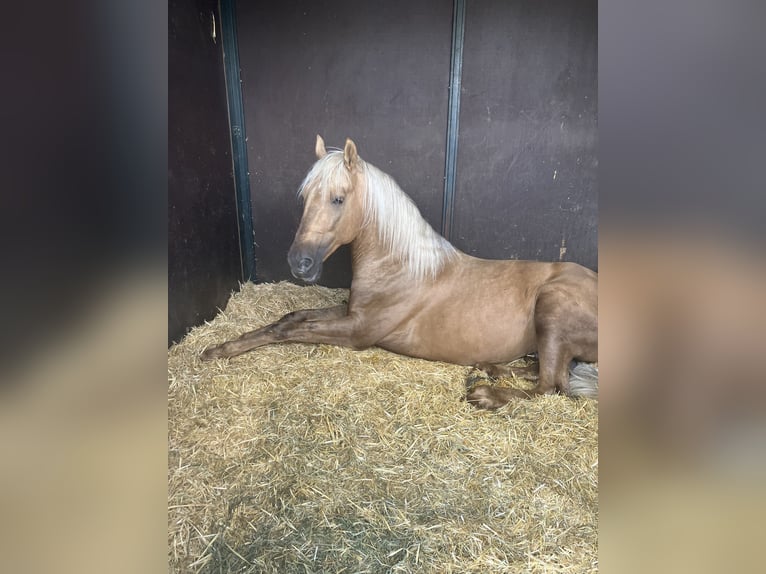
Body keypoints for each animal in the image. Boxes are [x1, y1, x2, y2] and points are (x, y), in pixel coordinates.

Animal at [201, 137, 596, 408]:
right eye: (305, 198)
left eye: (338, 199)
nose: (299, 262)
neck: (401, 268)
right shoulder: (351, 312)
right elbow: (289, 319)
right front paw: (220, 349)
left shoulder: (357, 331)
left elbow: (288, 332)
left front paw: (222, 350)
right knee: (542, 371)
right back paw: (487, 370)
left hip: (552, 310)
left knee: (551, 386)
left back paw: (484, 394)